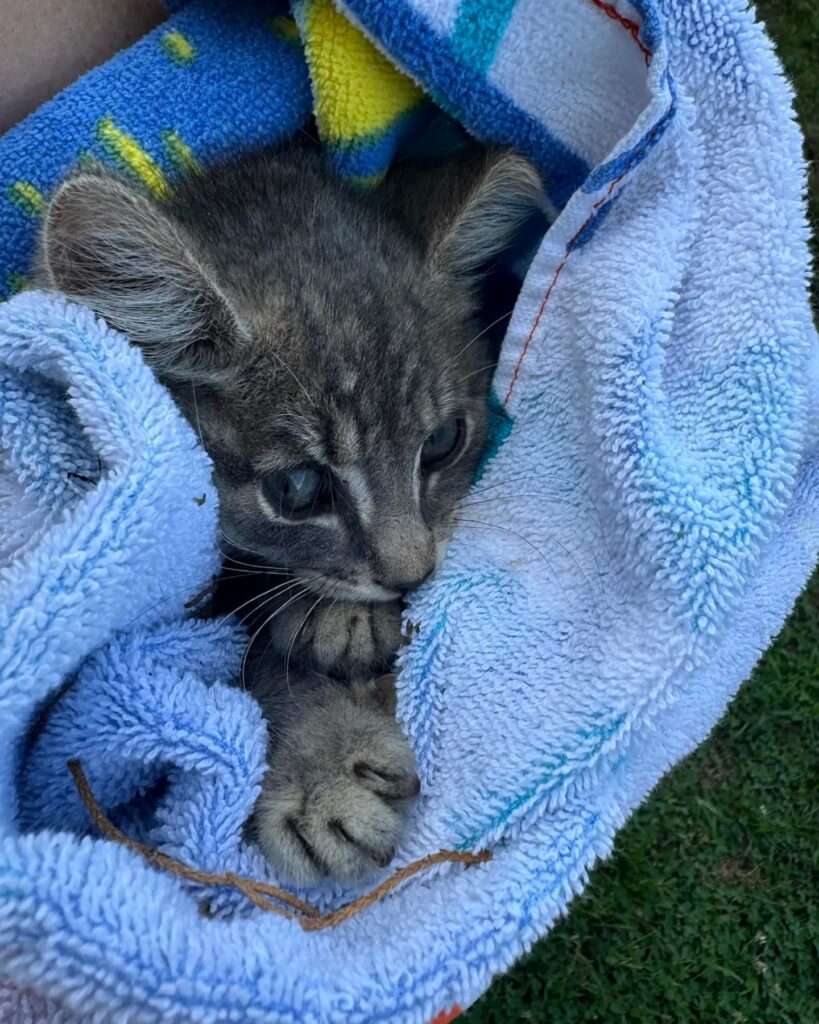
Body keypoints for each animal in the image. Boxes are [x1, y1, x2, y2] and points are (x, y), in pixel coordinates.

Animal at [38, 140, 540, 884]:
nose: (411, 574)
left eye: (444, 441)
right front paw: (319, 768)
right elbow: (220, 683)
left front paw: (336, 618)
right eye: (299, 490)